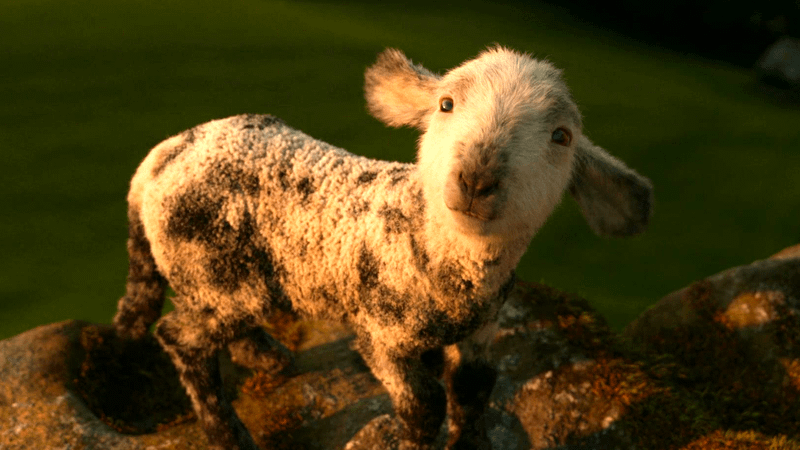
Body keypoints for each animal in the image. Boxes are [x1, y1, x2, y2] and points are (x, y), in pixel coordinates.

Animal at [113, 46, 652, 450]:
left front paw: (470, 441)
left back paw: (264, 357)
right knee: (182, 337)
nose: (476, 178)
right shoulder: (380, 330)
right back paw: (230, 435)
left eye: (561, 137)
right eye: (446, 104)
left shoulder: (483, 327)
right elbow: (424, 404)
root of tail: (157, 161)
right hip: (212, 261)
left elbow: (475, 387)